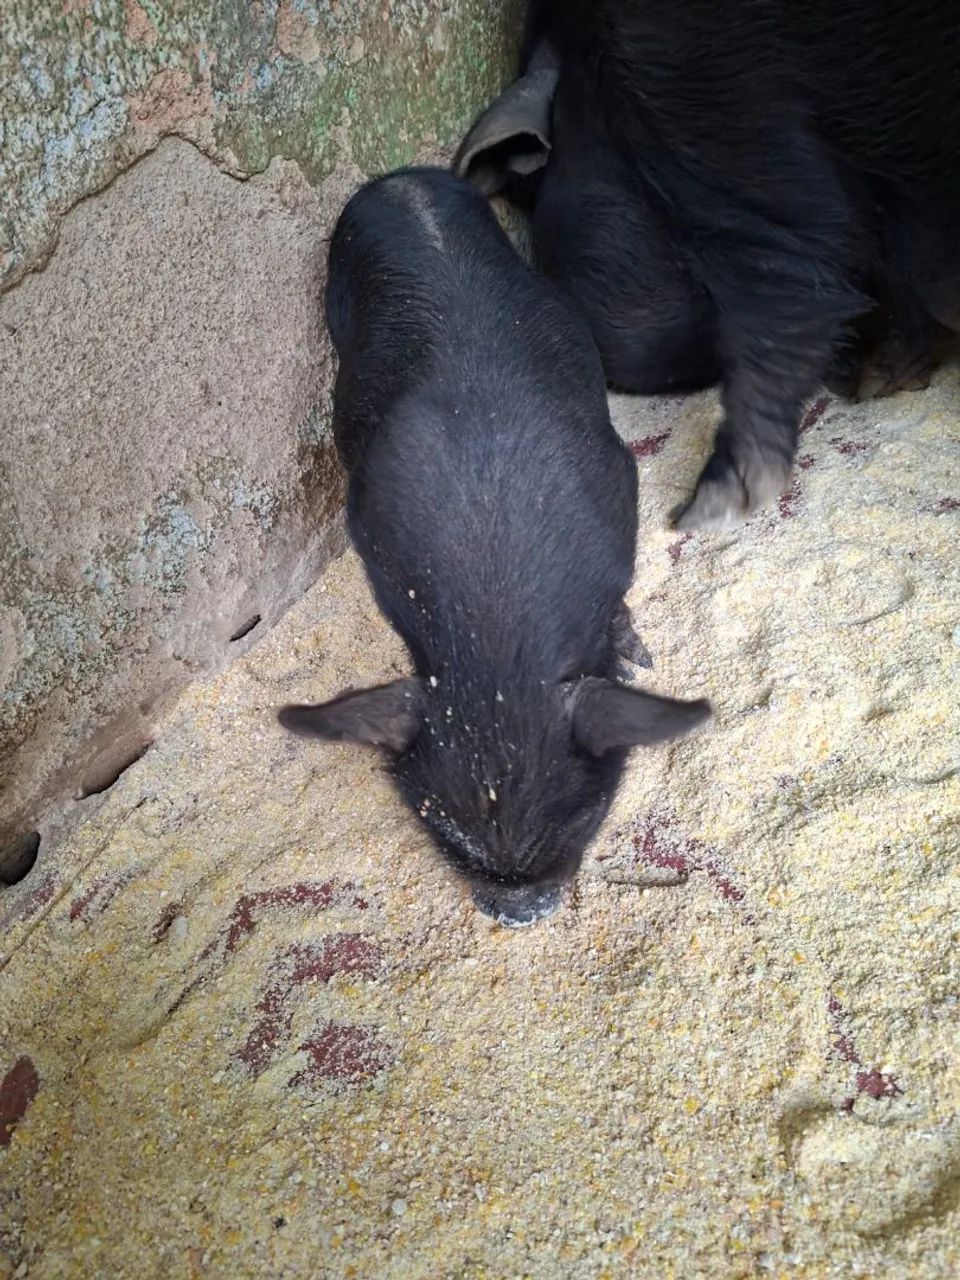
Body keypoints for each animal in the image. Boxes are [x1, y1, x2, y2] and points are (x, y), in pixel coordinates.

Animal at [278, 167, 710, 927]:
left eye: (582, 820)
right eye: (441, 833)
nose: (518, 914)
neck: (496, 622)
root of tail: (401, 180)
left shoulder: (619, 483)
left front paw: (638, 660)